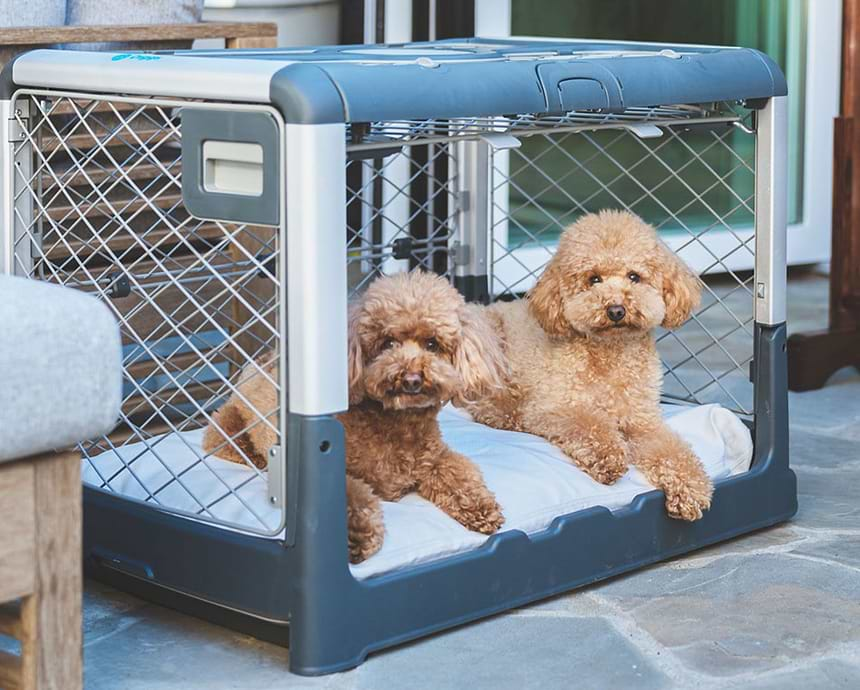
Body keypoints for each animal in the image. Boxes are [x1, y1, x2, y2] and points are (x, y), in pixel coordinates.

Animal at [205, 268, 508, 560]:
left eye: (432, 344)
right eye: (388, 343)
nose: (411, 379)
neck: (398, 424)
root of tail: (263, 360)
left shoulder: (434, 458)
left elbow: (459, 471)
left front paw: (481, 507)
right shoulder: (346, 473)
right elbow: (352, 495)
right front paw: (353, 535)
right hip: (228, 426)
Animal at [464, 211, 712, 520]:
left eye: (634, 276)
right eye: (594, 279)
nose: (616, 310)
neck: (611, 355)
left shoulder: (643, 422)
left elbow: (671, 451)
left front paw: (691, 487)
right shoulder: (556, 406)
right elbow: (590, 425)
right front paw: (609, 457)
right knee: (485, 400)